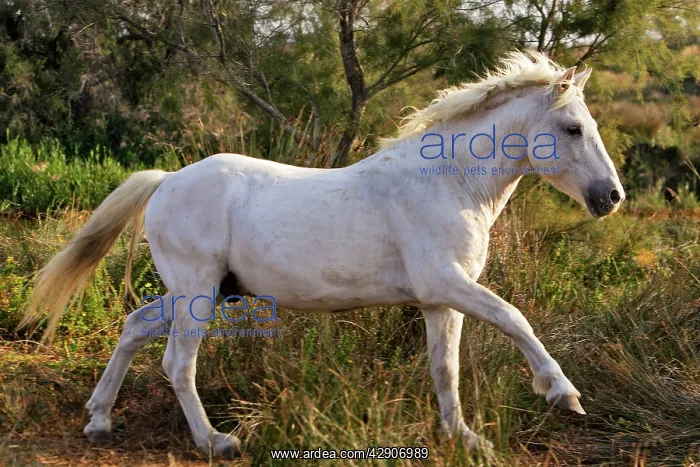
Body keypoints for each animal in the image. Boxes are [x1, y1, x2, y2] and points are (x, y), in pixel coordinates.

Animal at [21, 51, 624, 458]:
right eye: (573, 127)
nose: (612, 197)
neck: (450, 183)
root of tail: (167, 180)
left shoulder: (438, 300)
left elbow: (445, 369)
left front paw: (465, 438)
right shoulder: (447, 283)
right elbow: (514, 319)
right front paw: (562, 394)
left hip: (199, 292)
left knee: (134, 326)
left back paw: (99, 421)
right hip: (196, 293)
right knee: (176, 363)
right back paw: (216, 441)